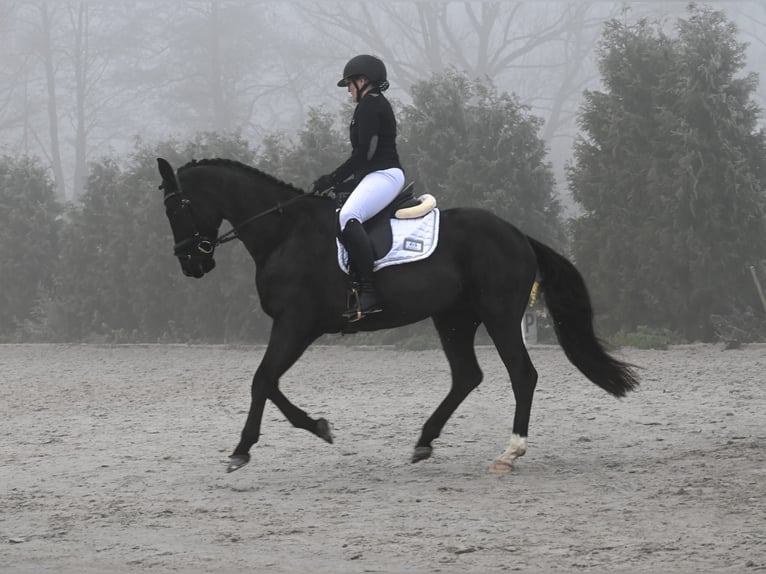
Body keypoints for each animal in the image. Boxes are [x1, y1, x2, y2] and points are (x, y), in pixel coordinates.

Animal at [157, 157, 638, 473]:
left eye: (176, 206)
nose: (190, 263)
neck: (285, 233)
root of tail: (517, 233)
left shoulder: (295, 324)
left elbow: (262, 380)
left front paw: (246, 448)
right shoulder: (297, 327)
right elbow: (269, 381)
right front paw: (317, 426)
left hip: (499, 315)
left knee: (522, 374)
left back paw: (510, 451)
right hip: (454, 318)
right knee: (467, 376)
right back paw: (424, 442)